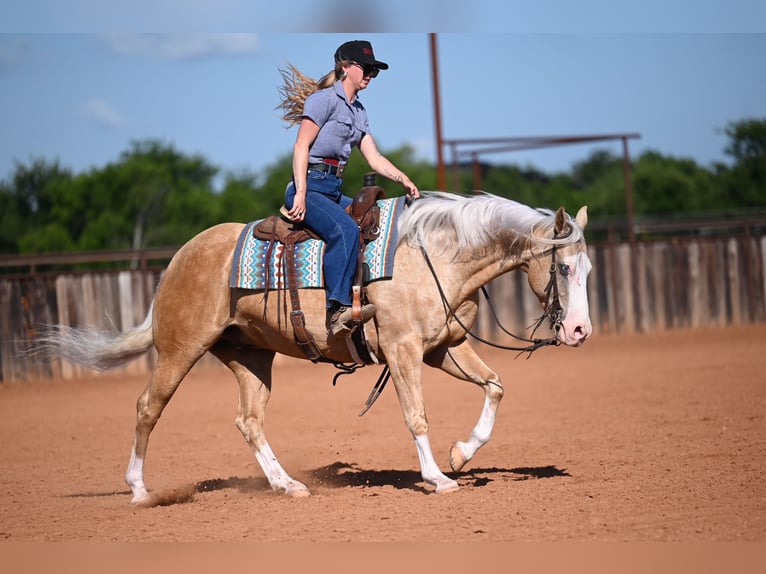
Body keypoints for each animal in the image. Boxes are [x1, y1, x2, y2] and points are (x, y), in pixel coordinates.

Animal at [41, 191, 592, 504]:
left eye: (587, 269)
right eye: (564, 267)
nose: (579, 332)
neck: (434, 256)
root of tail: (179, 258)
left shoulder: (444, 348)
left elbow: (495, 386)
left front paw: (460, 454)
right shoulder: (404, 351)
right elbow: (416, 416)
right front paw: (438, 477)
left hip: (250, 357)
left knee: (249, 421)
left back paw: (287, 485)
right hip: (180, 349)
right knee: (147, 407)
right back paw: (138, 490)